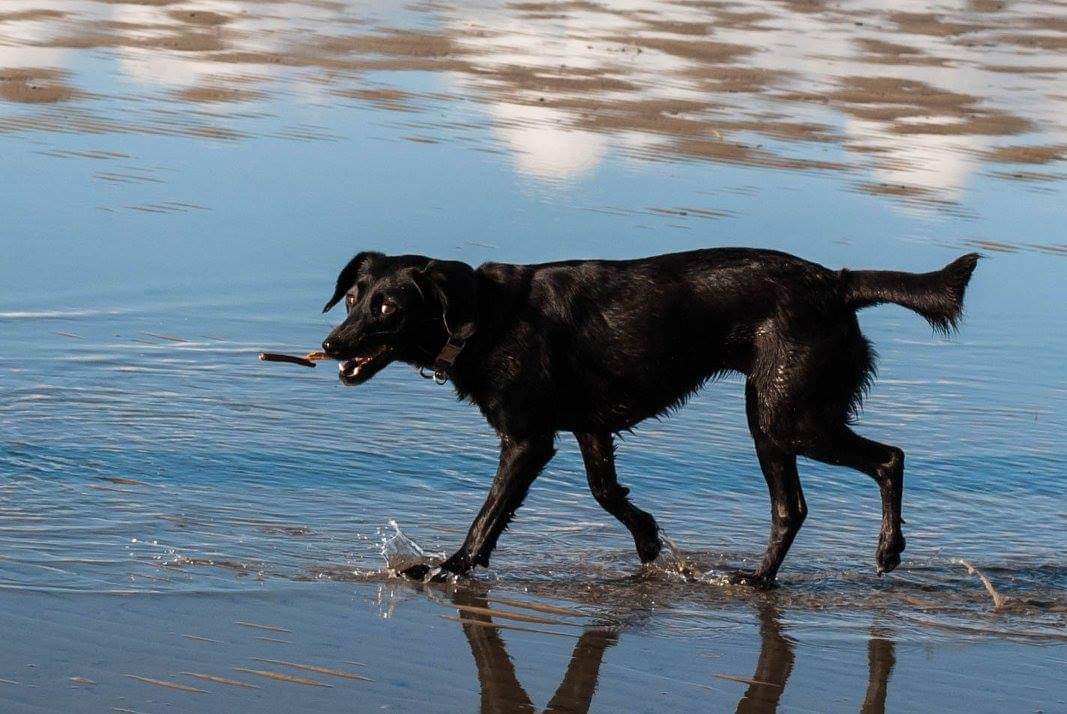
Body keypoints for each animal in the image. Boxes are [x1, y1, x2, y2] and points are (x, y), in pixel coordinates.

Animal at [317, 246, 977, 584]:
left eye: (387, 308)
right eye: (351, 298)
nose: (331, 345)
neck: (481, 315)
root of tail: (837, 284)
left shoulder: (528, 440)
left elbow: (488, 518)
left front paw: (447, 568)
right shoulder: (590, 428)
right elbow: (607, 493)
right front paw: (649, 540)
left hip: (789, 416)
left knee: (889, 458)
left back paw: (888, 551)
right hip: (767, 417)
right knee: (791, 508)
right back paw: (756, 581)